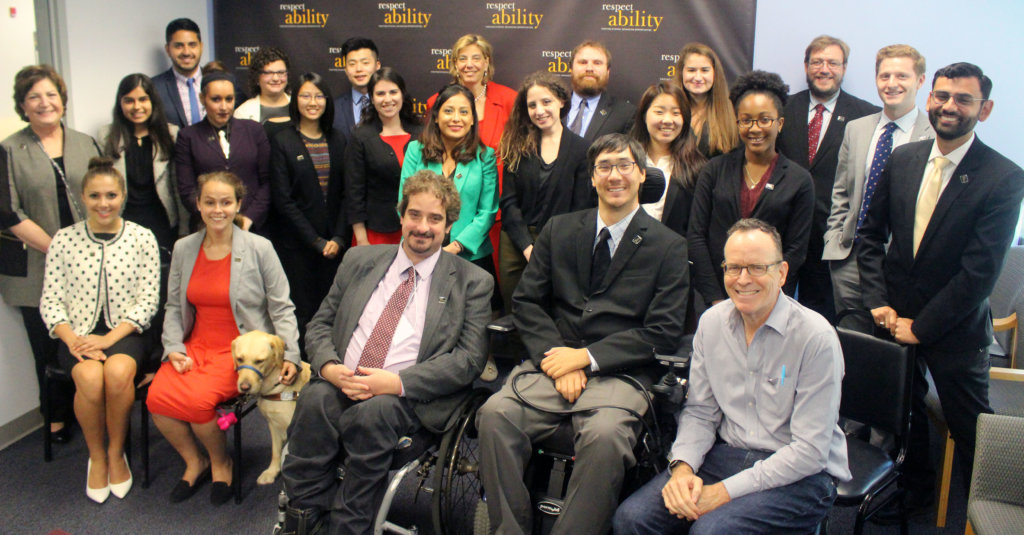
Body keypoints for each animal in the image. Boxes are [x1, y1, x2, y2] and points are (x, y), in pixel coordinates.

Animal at [233, 327, 309, 483]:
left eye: (259, 361)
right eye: (239, 359)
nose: (244, 387)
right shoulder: (273, 424)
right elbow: (275, 451)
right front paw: (272, 471)